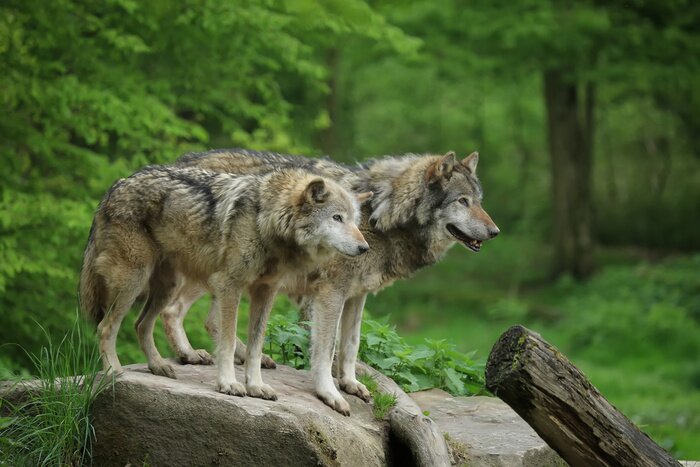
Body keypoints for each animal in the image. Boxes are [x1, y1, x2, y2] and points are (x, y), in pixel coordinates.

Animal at [79, 164, 371, 400]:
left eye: (355, 222)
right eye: (337, 218)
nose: (365, 248)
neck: (265, 220)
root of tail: (115, 186)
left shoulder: (266, 292)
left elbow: (255, 348)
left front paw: (256, 387)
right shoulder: (230, 286)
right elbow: (228, 342)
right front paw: (229, 384)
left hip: (167, 287)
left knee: (141, 324)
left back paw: (158, 366)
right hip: (133, 282)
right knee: (106, 327)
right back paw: (115, 373)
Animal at [162, 149, 499, 414]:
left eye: (480, 201)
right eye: (462, 201)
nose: (495, 232)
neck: (380, 213)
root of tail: (182, 160)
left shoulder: (357, 295)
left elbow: (351, 344)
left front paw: (350, 383)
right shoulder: (330, 292)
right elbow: (325, 349)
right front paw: (330, 393)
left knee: (208, 320)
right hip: (215, 271)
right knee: (175, 310)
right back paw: (191, 355)